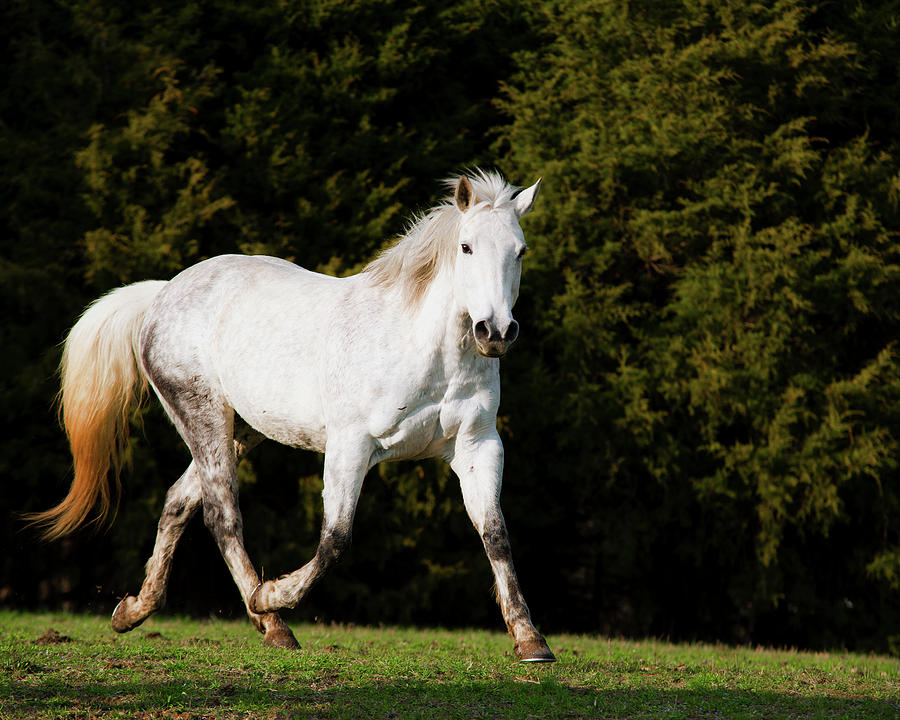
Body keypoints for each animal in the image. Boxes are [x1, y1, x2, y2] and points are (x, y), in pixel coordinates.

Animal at [33, 170, 556, 664]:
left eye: (521, 251)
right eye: (466, 247)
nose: (496, 332)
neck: (429, 351)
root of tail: (163, 295)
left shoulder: (477, 445)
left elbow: (495, 534)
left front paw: (531, 641)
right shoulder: (352, 446)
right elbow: (335, 540)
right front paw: (272, 595)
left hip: (242, 431)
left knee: (179, 502)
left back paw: (134, 610)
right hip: (203, 417)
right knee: (222, 516)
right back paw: (271, 622)